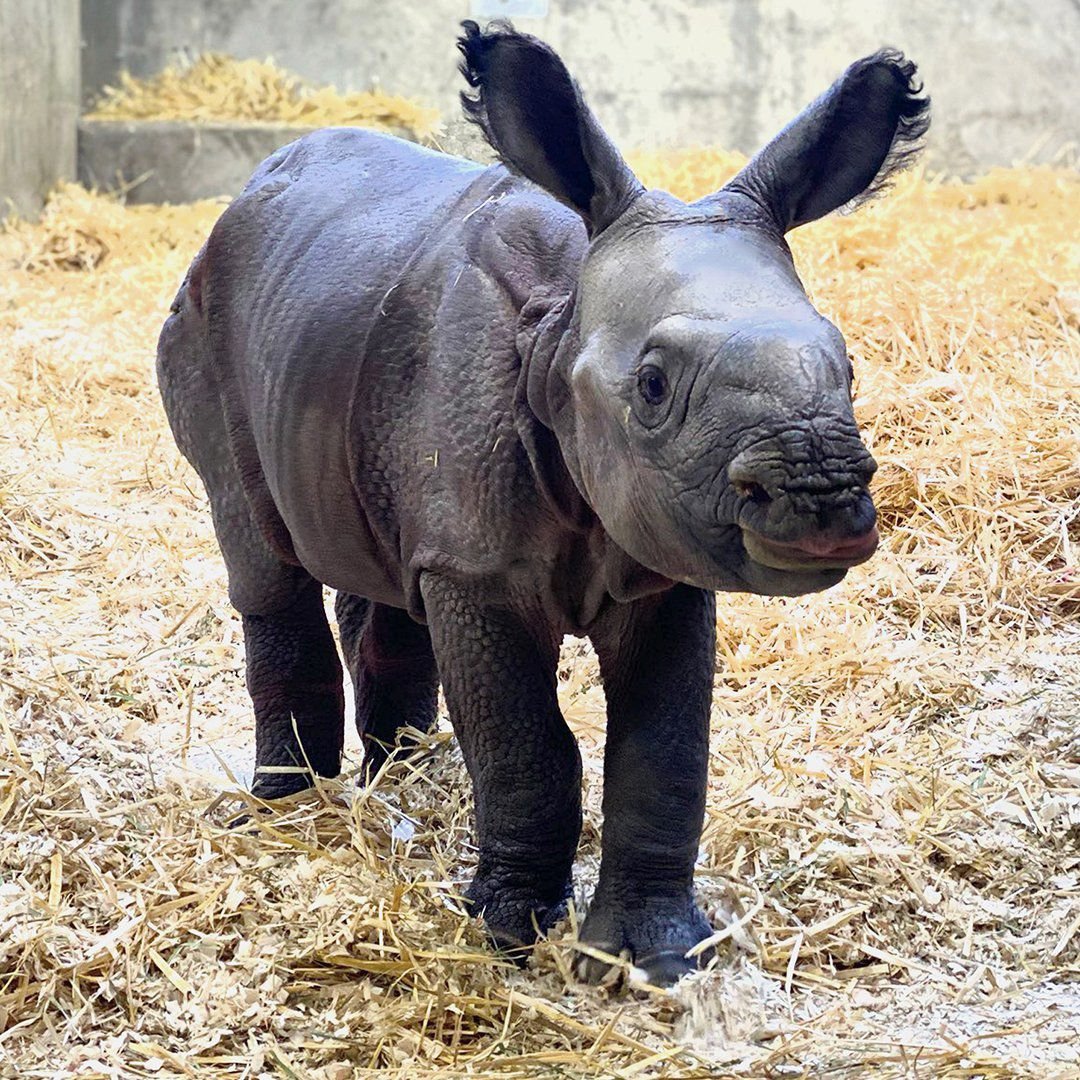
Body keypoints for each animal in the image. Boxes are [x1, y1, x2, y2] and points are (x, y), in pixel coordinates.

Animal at [157, 21, 928, 984]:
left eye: (849, 366)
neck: (564, 326)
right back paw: (290, 808)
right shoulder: (478, 571)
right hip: (200, 320)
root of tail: (240, 199)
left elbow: (664, 754)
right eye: (652, 385)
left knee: (383, 566)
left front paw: (654, 956)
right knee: (264, 560)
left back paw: (401, 778)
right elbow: (527, 746)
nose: (820, 498)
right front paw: (508, 935)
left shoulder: (664, 564)